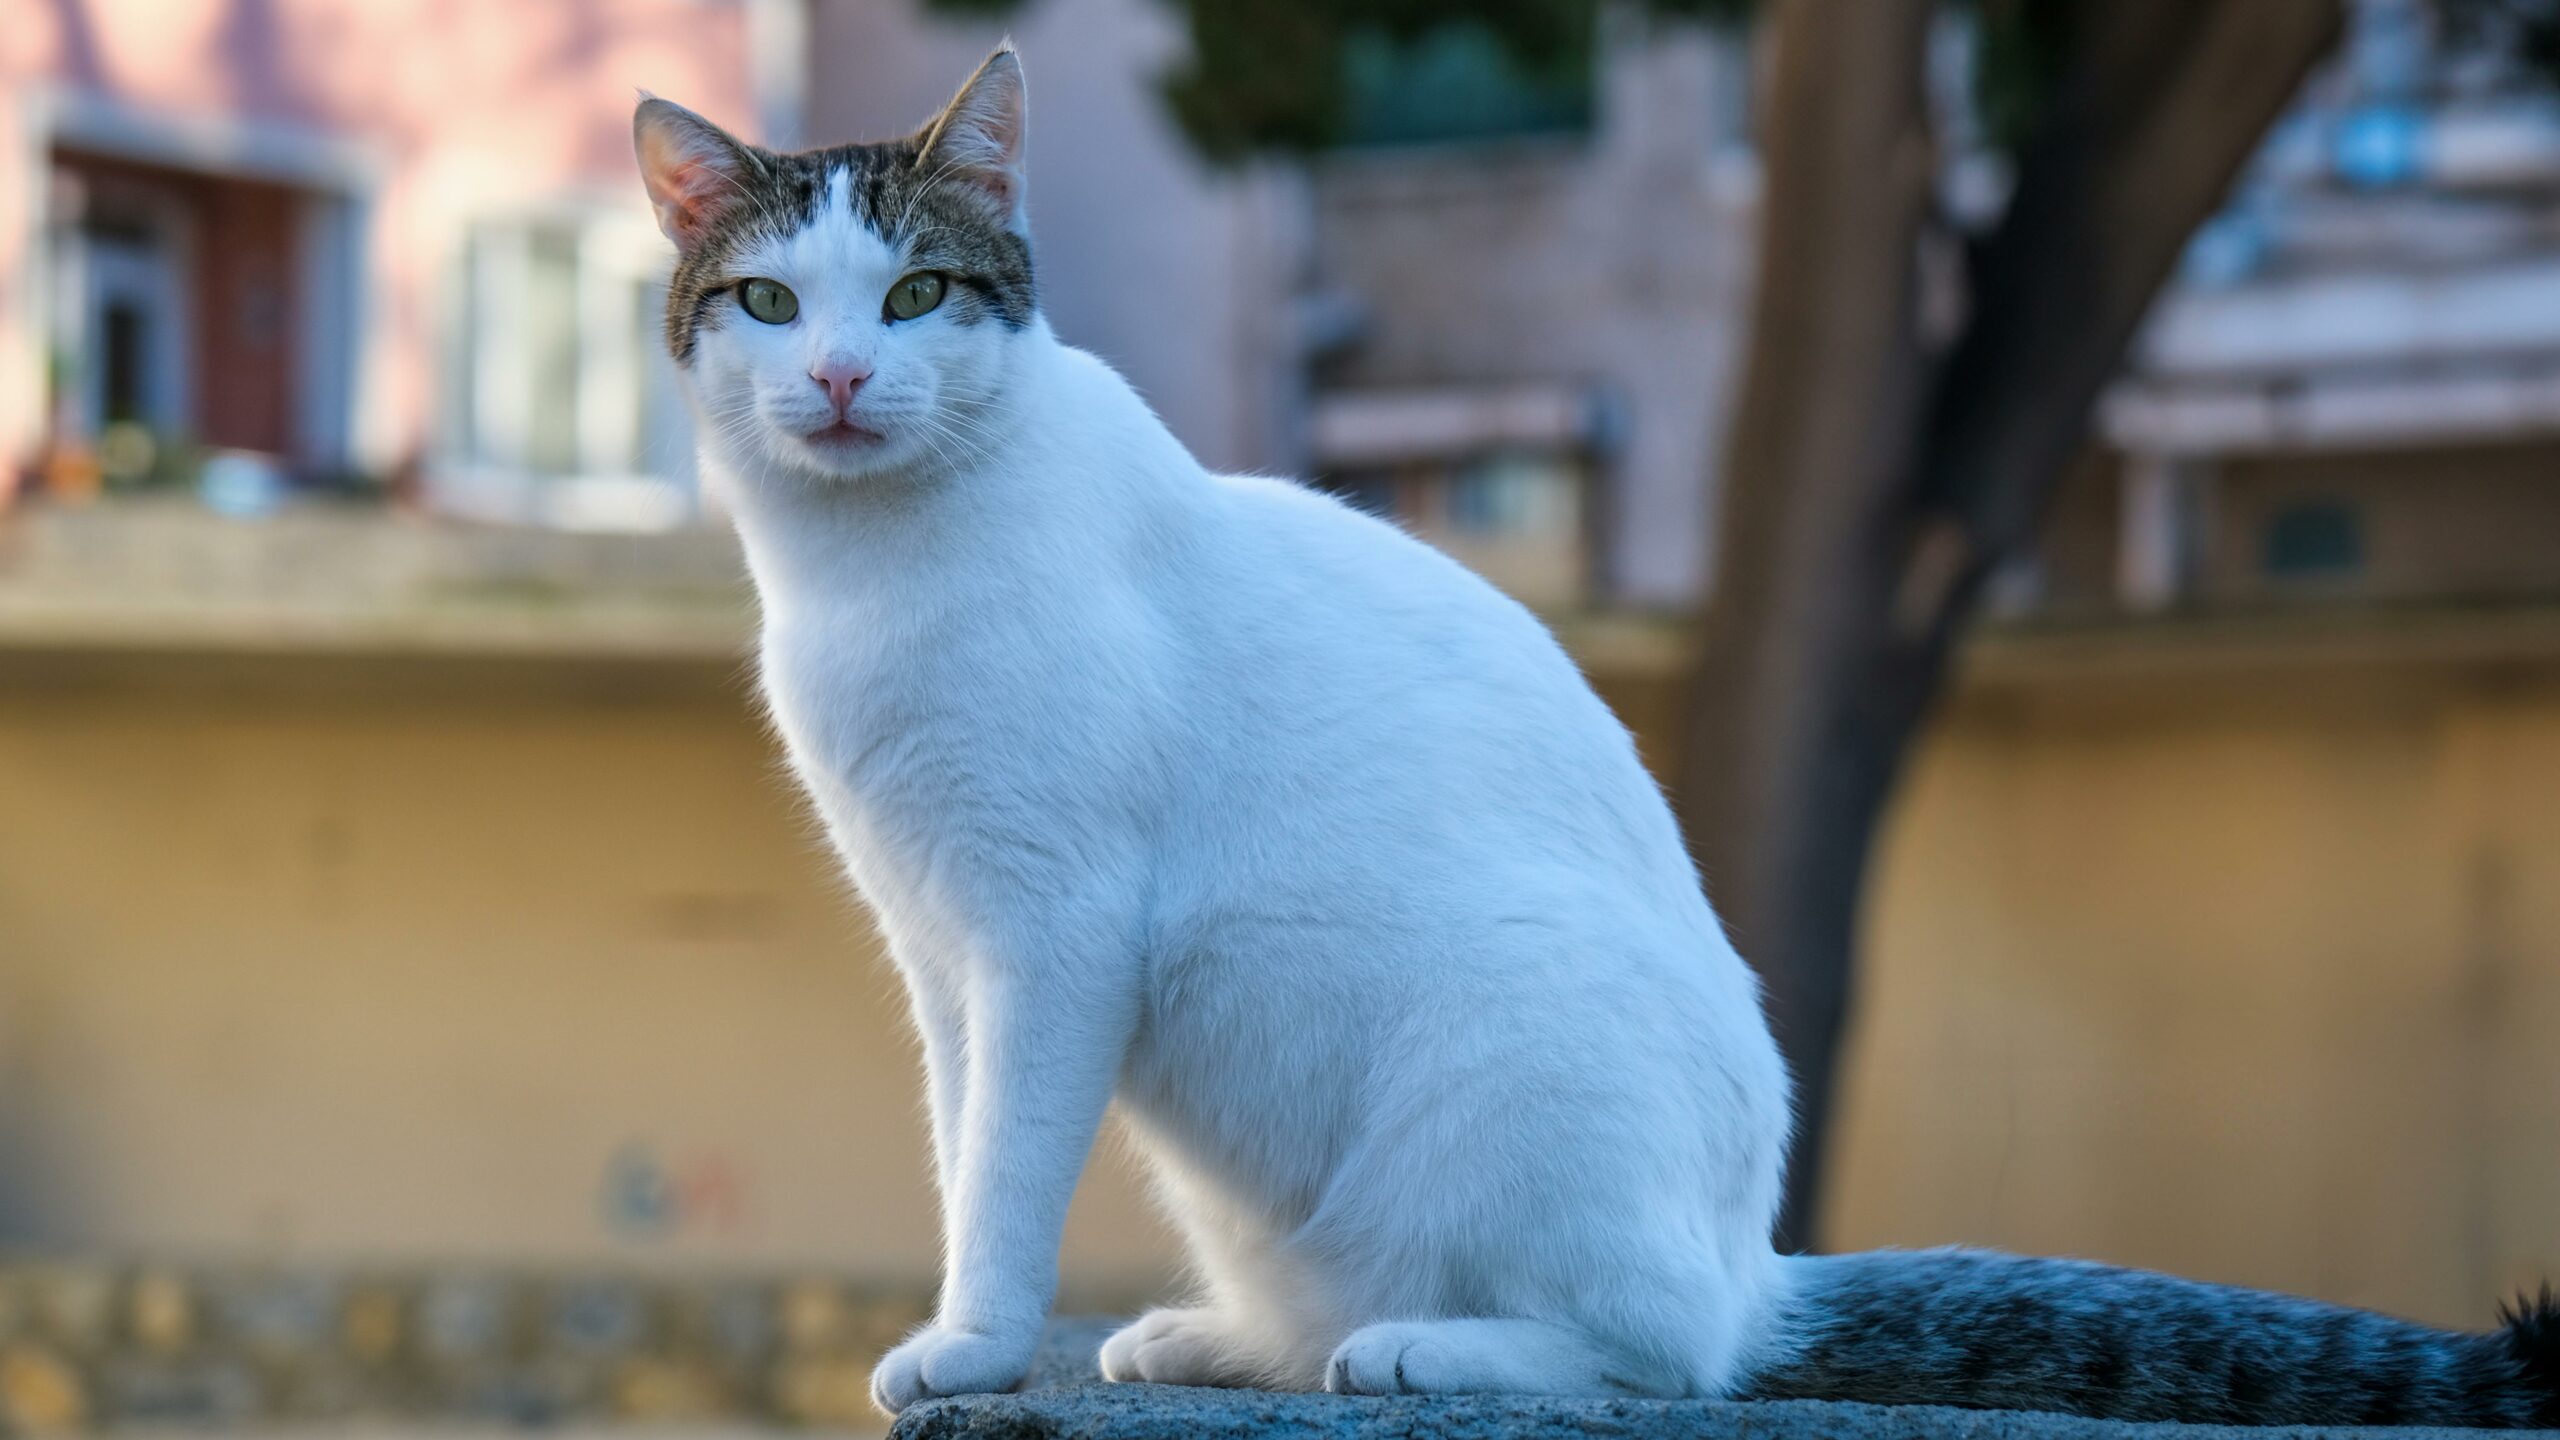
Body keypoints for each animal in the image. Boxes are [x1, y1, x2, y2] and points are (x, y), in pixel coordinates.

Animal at [634, 44, 2560, 1424]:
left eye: (916, 296)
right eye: (769, 305)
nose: (838, 381)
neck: (872, 580)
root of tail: (1756, 1252)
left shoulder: (1052, 930)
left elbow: (1009, 1169)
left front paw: (973, 1342)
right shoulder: (940, 944)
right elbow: (964, 1140)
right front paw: (978, 1320)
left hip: (1524, 1047)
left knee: (1658, 1352)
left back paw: (1433, 1351)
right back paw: (1224, 1335)